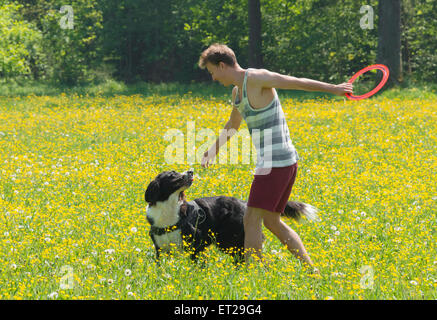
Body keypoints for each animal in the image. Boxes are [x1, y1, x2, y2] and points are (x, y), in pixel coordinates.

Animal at [145, 169, 318, 262]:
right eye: (172, 175)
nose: (191, 171)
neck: (168, 209)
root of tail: (244, 202)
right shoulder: (160, 249)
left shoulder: (196, 244)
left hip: (232, 241)